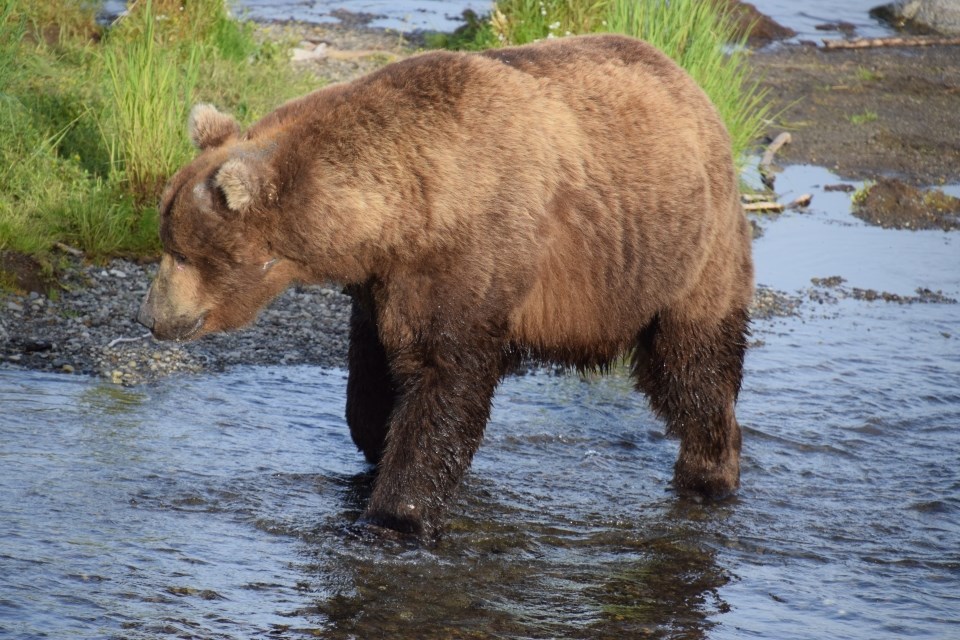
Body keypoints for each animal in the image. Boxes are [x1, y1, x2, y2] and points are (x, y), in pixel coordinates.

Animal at [137, 32, 752, 536]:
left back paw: (708, 471)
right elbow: (377, 367)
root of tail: (693, 87)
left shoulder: (470, 257)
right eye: (166, 238)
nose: (148, 316)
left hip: (685, 253)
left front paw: (394, 513)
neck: (401, 213)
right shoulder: (383, 281)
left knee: (691, 365)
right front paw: (374, 439)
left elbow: (446, 379)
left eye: (182, 252)